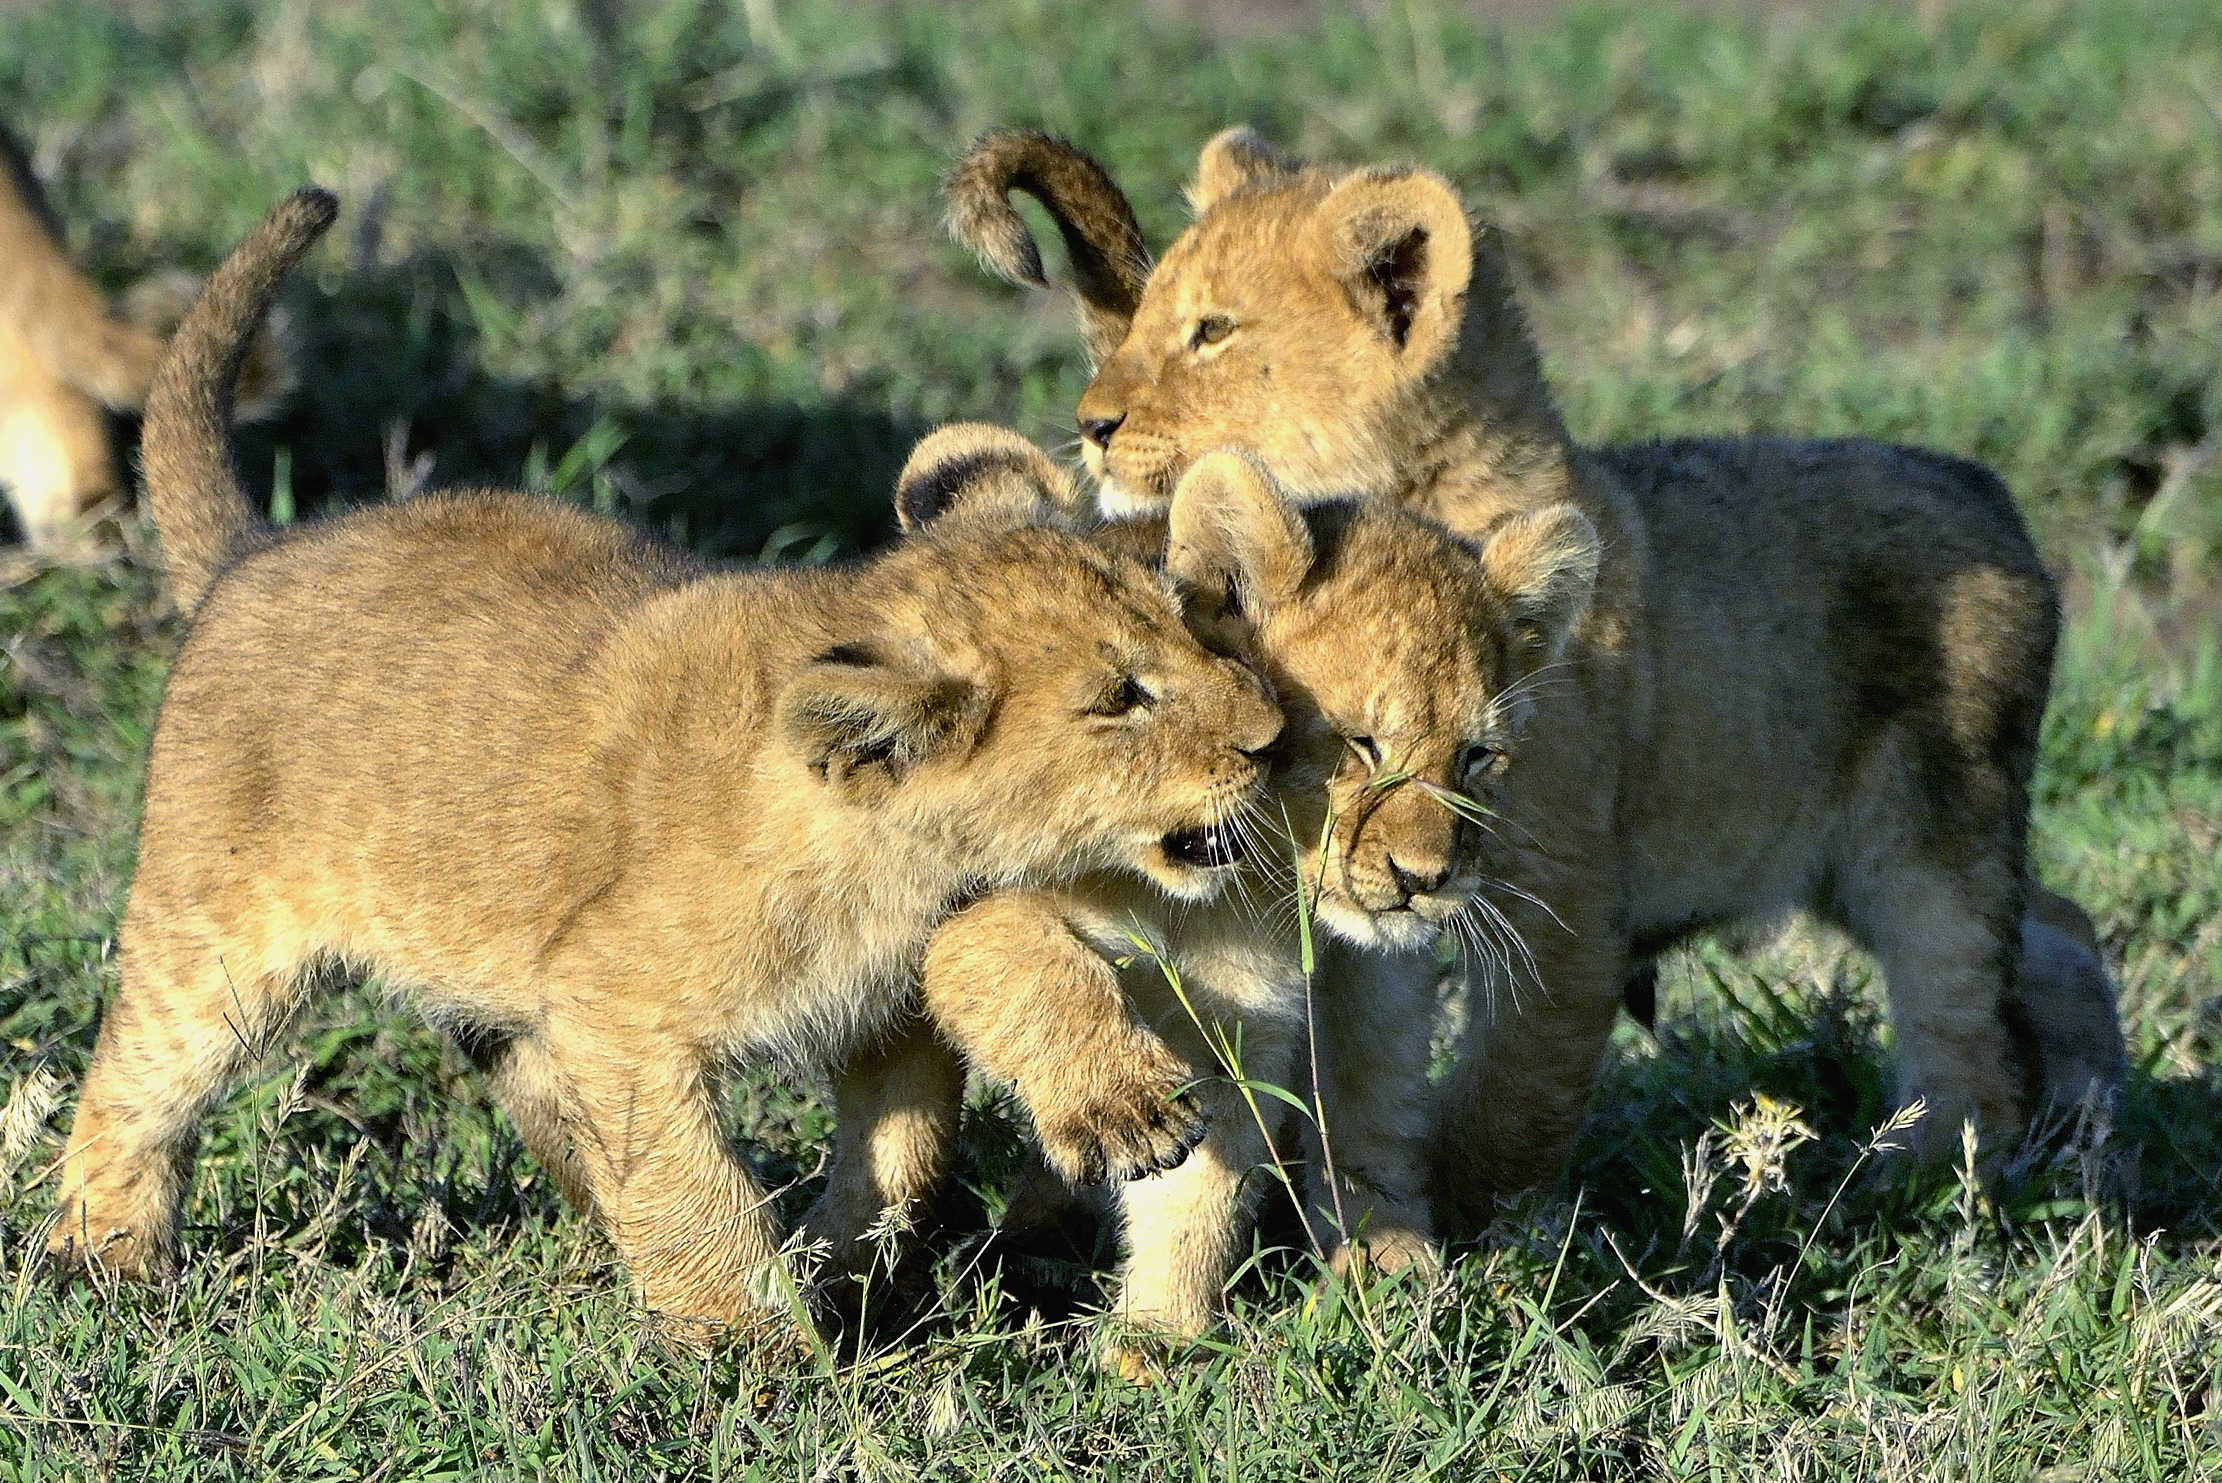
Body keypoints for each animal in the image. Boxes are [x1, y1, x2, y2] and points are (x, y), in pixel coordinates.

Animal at [47, 190, 1288, 1338]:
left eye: (1189, 627)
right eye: (1120, 698)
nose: (1271, 737)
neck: (887, 859)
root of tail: (253, 554)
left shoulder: (887, 1001)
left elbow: (914, 1139)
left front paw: (846, 1270)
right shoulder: (618, 1005)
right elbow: (691, 1189)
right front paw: (755, 1351)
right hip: (215, 938)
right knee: (133, 1082)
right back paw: (104, 1265)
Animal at [801, 427, 1597, 1365]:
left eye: (1477, 757)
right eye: (1359, 743)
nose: (1426, 878)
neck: (1234, 887)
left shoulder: (1244, 1012)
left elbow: (1201, 1191)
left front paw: (1156, 1340)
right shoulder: (954, 898)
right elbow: (1034, 969)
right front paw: (1121, 1117)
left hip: (1377, 990)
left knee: (1371, 1110)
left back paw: (1394, 1274)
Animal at [943, 129, 2125, 1235]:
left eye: (1214, 331)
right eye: (1146, 318)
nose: (1091, 424)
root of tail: (1991, 491)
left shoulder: (1558, 879)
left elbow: (1510, 1085)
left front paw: (1458, 1230)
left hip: (1924, 841)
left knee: (1966, 1010)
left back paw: (1938, 1179)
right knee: (2058, 923)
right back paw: (2082, 1131)